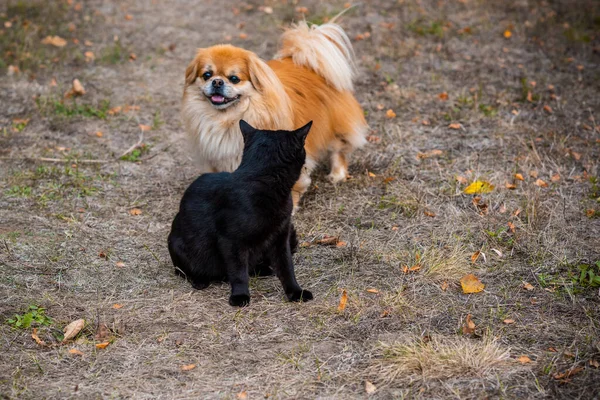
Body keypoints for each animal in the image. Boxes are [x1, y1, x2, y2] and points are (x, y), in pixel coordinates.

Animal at [166, 119, 312, 306]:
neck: (261, 180)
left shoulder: (281, 237)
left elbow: (287, 267)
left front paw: (296, 292)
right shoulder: (231, 242)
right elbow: (238, 272)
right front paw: (240, 295)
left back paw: (262, 269)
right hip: (177, 244)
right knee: (183, 271)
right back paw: (200, 280)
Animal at [180, 20, 366, 208]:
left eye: (234, 79)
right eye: (207, 75)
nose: (217, 82)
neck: (229, 118)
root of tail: (308, 62)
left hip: (334, 126)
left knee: (338, 149)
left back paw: (337, 175)